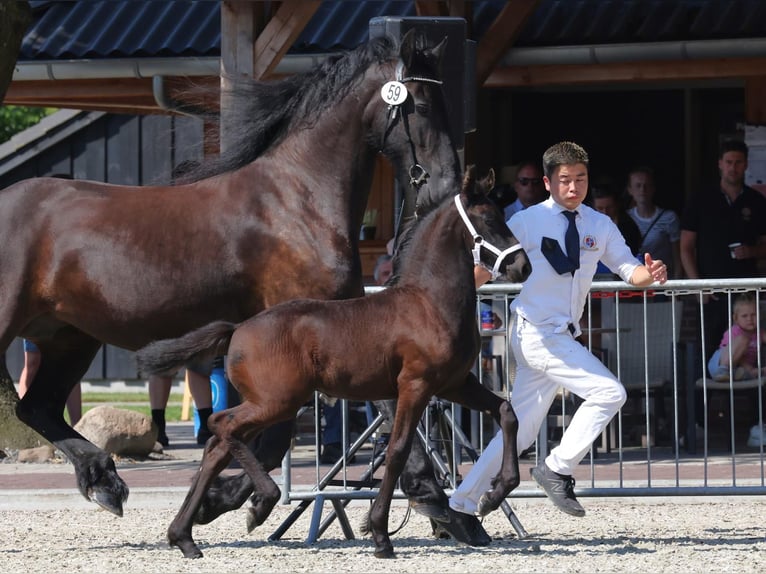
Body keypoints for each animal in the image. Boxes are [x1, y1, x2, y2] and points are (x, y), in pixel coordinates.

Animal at [1, 29, 464, 525]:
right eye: (421, 103)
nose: (446, 188)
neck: (297, 200)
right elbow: (294, 435)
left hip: (69, 335)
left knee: (38, 408)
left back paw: (106, 482)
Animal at [135, 166, 531, 559]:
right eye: (488, 219)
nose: (522, 266)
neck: (429, 303)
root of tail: (237, 329)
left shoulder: (455, 384)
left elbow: (507, 413)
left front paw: (494, 495)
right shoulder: (415, 386)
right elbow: (398, 451)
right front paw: (380, 535)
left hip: (271, 404)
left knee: (217, 447)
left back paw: (185, 536)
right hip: (276, 402)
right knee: (220, 425)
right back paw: (261, 501)